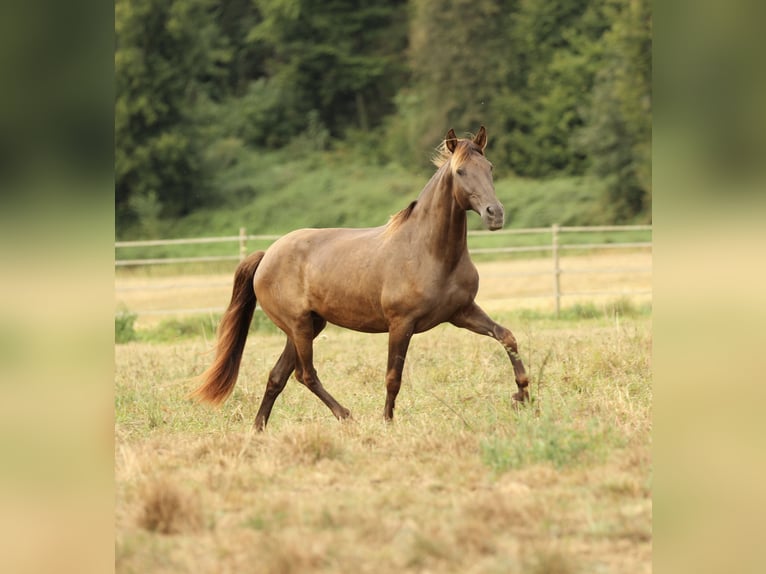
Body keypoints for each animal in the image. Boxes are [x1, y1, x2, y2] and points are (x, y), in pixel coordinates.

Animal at [194, 127, 528, 432]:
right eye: (460, 171)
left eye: (489, 168)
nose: (495, 214)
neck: (429, 252)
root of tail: (267, 255)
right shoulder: (401, 324)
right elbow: (393, 377)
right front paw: (387, 423)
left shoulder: (462, 312)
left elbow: (507, 337)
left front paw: (522, 395)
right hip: (298, 326)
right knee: (305, 374)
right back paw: (345, 416)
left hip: (308, 325)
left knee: (278, 376)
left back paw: (258, 428)